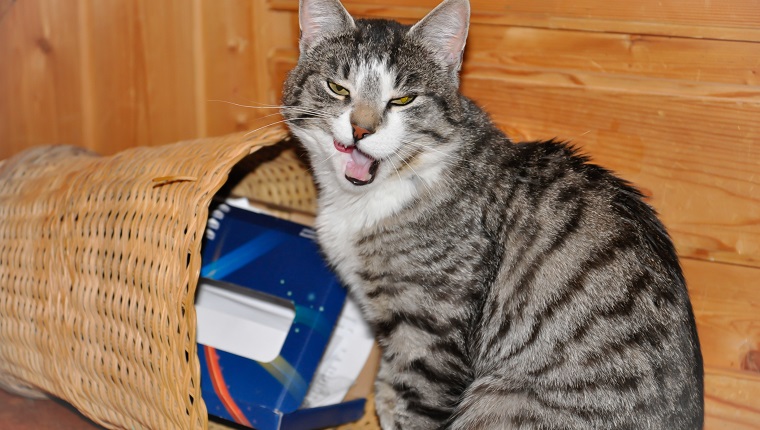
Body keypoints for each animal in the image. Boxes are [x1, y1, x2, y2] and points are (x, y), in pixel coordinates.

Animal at [282, 0, 704, 426]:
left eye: (403, 99)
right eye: (338, 88)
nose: (361, 129)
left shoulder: (430, 335)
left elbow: (416, 406)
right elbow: (387, 393)